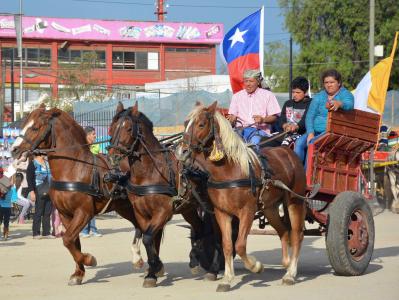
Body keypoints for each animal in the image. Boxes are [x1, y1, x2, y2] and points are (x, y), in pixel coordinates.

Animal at [10, 105, 145, 286]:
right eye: (24, 124)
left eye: (35, 127)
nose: (14, 150)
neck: (73, 169)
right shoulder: (66, 215)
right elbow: (73, 243)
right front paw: (78, 273)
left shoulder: (84, 213)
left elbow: (67, 239)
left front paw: (89, 260)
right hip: (124, 207)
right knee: (139, 225)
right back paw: (137, 258)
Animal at [108, 103, 228, 288]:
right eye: (112, 127)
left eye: (128, 128)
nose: (113, 156)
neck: (150, 172)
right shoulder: (142, 214)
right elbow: (150, 239)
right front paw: (152, 272)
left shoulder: (163, 212)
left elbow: (148, 238)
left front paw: (156, 266)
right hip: (189, 208)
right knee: (200, 228)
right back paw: (194, 259)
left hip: (212, 208)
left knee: (216, 233)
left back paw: (213, 269)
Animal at [176, 102, 310, 292]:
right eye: (186, 123)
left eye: (201, 124)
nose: (181, 151)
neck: (229, 170)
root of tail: (288, 153)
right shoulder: (221, 213)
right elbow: (226, 244)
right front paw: (226, 279)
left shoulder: (247, 211)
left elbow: (239, 245)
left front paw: (256, 266)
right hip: (270, 208)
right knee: (284, 231)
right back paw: (286, 262)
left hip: (294, 202)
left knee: (297, 234)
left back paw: (290, 274)